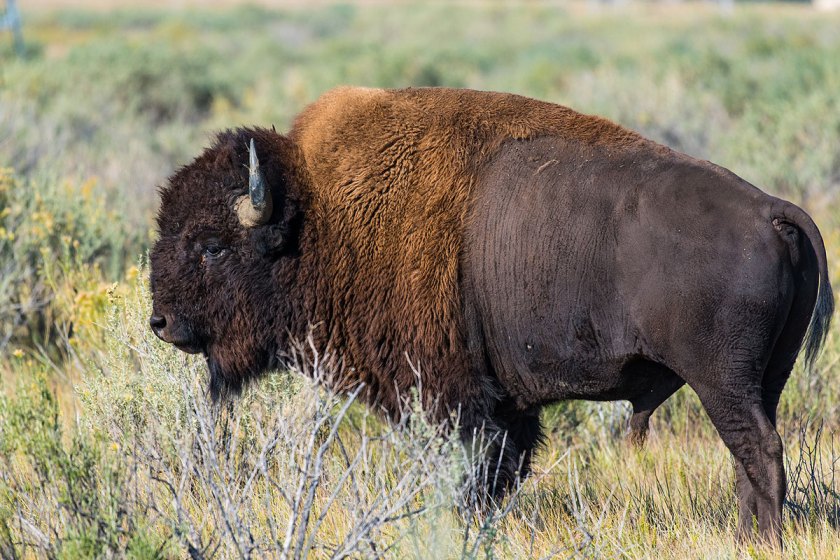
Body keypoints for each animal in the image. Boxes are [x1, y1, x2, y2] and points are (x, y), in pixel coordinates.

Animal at [150, 86, 832, 545]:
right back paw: (748, 537)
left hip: (721, 380)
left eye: (211, 245)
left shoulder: (454, 401)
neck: (322, 218)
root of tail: (772, 210)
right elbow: (501, 473)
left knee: (758, 450)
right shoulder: (504, 405)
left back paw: (760, 541)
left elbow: (473, 476)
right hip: (764, 380)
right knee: (755, 452)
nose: (160, 322)